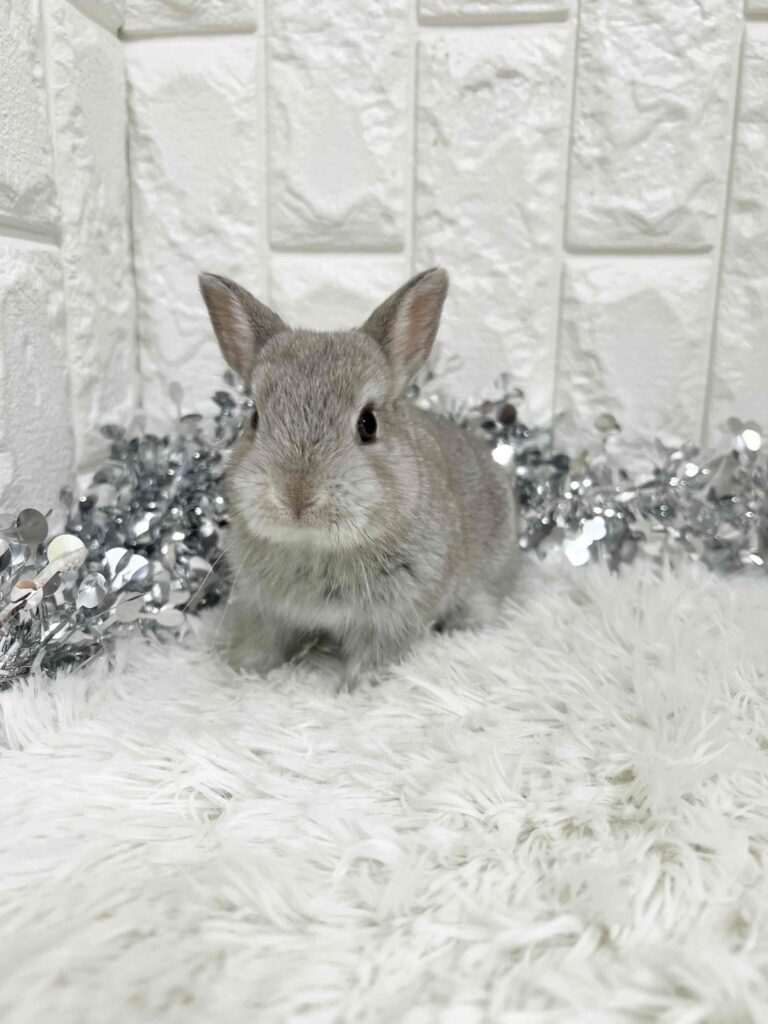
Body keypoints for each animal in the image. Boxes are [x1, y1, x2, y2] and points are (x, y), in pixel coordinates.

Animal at [199, 267, 518, 689]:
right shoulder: (266, 610)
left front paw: (356, 689)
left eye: (368, 424)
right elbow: (264, 641)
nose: (296, 495)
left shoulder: (392, 618)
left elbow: (374, 657)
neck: (315, 546)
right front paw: (244, 669)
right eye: (254, 419)